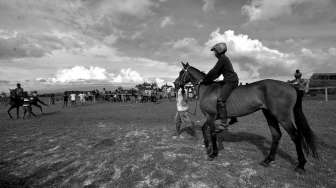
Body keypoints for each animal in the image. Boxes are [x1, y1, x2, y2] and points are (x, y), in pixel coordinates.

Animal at [175, 62, 318, 173]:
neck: (208, 88)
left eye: (181, 72)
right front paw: (207, 145)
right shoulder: (211, 118)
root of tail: (291, 86)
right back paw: (268, 160)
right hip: (269, 115)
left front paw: (213, 153)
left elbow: (211, 132)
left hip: (283, 117)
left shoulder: (211, 116)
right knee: (276, 134)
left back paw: (300, 165)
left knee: (296, 136)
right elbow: (205, 129)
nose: (175, 84)